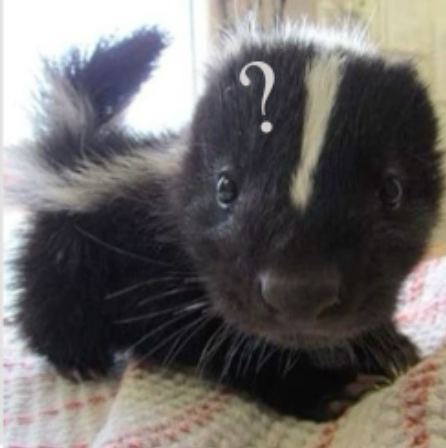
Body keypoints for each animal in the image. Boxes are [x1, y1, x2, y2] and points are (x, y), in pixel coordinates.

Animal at [7, 20, 444, 421]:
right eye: (225, 187)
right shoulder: (178, 281)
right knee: (50, 305)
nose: (298, 293)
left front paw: (387, 345)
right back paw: (78, 362)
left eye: (391, 191)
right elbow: (230, 343)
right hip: (68, 253)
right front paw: (323, 388)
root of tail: (84, 150)